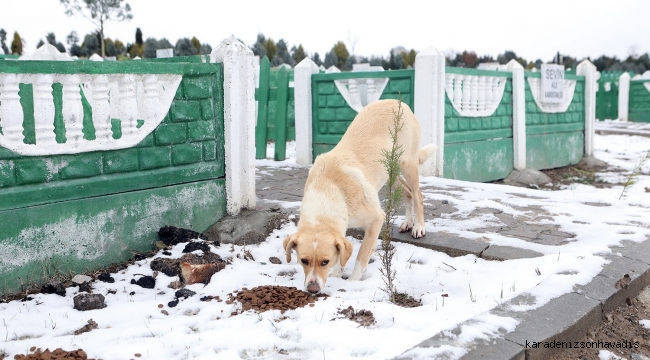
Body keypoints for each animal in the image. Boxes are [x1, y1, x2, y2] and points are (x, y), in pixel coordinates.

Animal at [280, 100, 432, 294]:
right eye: (304, 261)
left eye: (325, 262)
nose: (313, 289)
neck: (328, 189)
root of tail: (397, 102)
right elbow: (343, 249)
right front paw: (338, 272)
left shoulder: (376, 219)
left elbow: (361, 255)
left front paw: (352, 281)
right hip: (390, 172)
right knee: (407, 192)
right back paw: (408, 222)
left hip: (406, 164)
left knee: (418, 194)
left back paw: (419, 226)